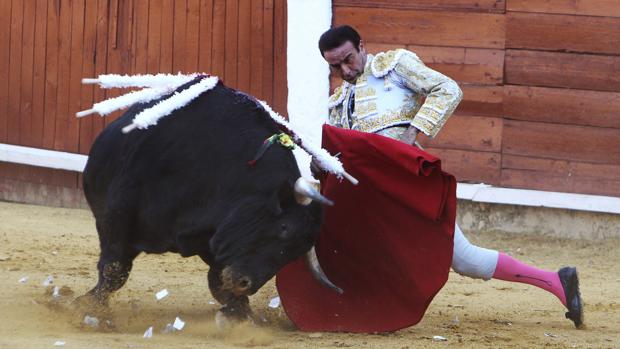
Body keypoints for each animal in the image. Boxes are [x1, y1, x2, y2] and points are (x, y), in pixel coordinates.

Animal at [78, 78, 340, 324]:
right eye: (284, 227)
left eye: (295, 254)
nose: (245, 284)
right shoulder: (119, 212)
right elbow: (114, 269)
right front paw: (89, 311)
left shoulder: (217, 238)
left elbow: (218, 282)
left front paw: (242, 318)